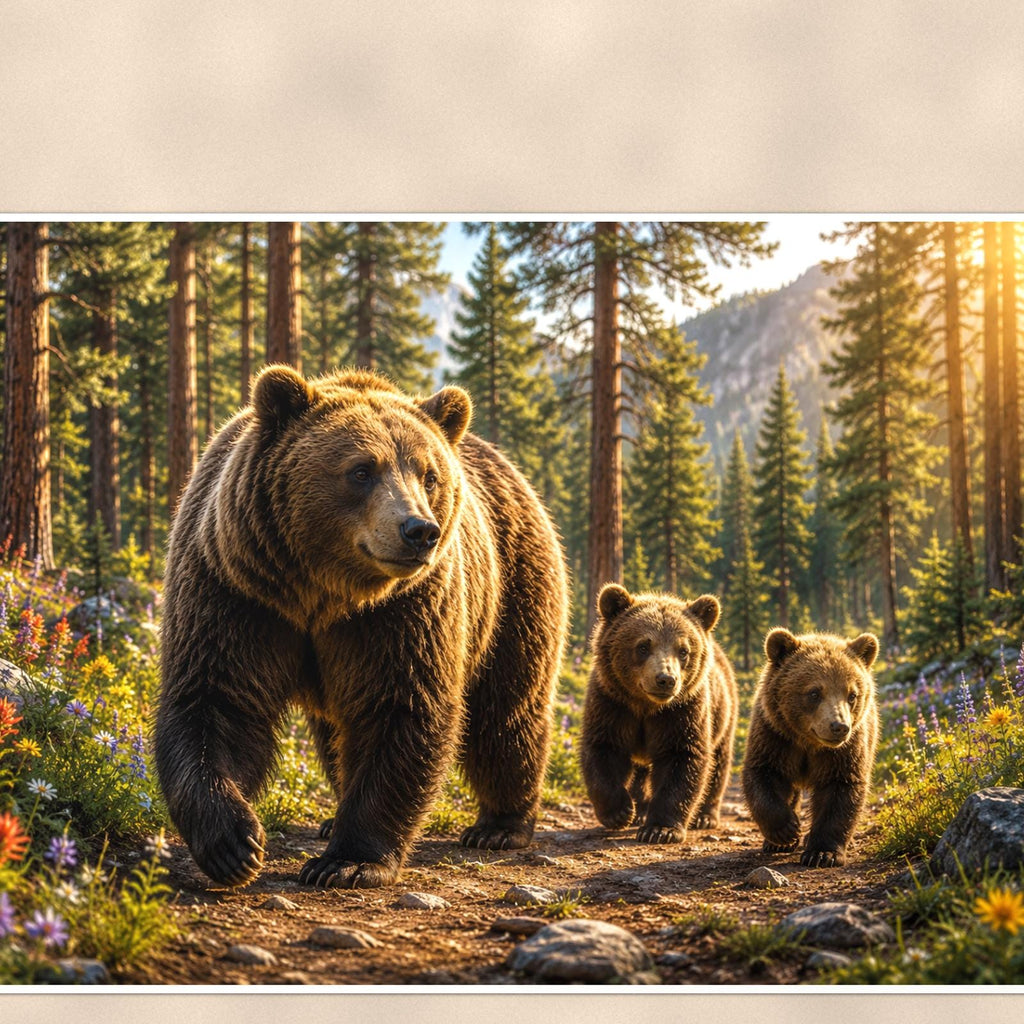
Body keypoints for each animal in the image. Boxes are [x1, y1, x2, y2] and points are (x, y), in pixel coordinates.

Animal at [154, 365, 568, 889]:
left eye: (428, 475)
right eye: (361, 470)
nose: (419, 530)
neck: (323, 594)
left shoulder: (403, 612)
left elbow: (400, 707)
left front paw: (346, 861)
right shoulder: (237, 590)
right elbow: (216, 698)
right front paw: (233, 843)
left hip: (512, 588)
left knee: (508, 709)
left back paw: (500, 825)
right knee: (336, 735)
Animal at [580, 584, 738, 844]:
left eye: (683, 650)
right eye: (643, 646)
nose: (665, 679)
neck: (647, 706)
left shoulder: (682, 712)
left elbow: (682, 758)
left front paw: (660, 829)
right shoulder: (612, 703)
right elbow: (603, 749)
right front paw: (620, 811)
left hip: (722, 714)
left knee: (718, 764)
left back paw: (704, 816)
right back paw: (639, 811)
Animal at [741, 628, 880, 868]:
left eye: (852, 695)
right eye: (814, 692)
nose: (839, 726)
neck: (808, 742)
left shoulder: (845, 751)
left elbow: (841, 788)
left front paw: (822, 853)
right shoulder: (775, 737)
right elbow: (763, 774)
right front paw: (786, 830)